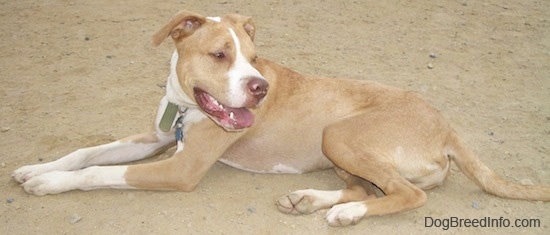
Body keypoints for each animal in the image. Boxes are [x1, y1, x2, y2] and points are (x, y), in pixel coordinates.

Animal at [10, 10, 548, 226]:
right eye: (220, 54)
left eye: (253, 56)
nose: (260, 88)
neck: (188, 106)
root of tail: (447, 125)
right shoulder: (155, 137)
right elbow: (88, 152)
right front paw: (37, 168)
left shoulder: (181, 168)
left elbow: (102, 171)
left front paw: (49, 184)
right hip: (340, 151)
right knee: (369, 187)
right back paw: (309, 199)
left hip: (340, 135)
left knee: (404, 194)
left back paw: (345, 214)